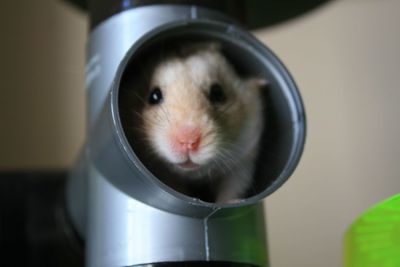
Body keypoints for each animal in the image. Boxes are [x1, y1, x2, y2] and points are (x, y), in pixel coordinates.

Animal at [120, 43, 268, 204]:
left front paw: (231, 202)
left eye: (218, 93)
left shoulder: (243, 163)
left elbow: (231, 188)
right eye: (154, 96)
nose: (188, 142)